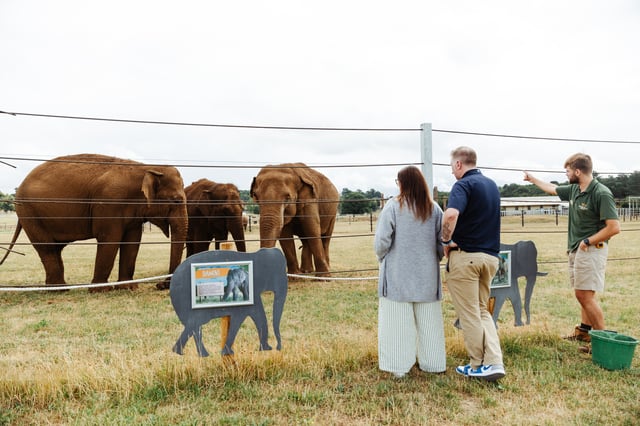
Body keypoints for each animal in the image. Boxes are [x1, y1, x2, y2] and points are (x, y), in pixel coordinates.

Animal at [0, 154, 188, 291]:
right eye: (177, 201)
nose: (160, 285)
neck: (146, 168)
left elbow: (132, 242)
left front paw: (128, 288)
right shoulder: (109, 203)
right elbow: (110, 240)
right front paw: (100, 290)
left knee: (54, 249)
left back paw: (60, 289)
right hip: (30, 213)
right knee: (47, 248)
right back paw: (58, 290)